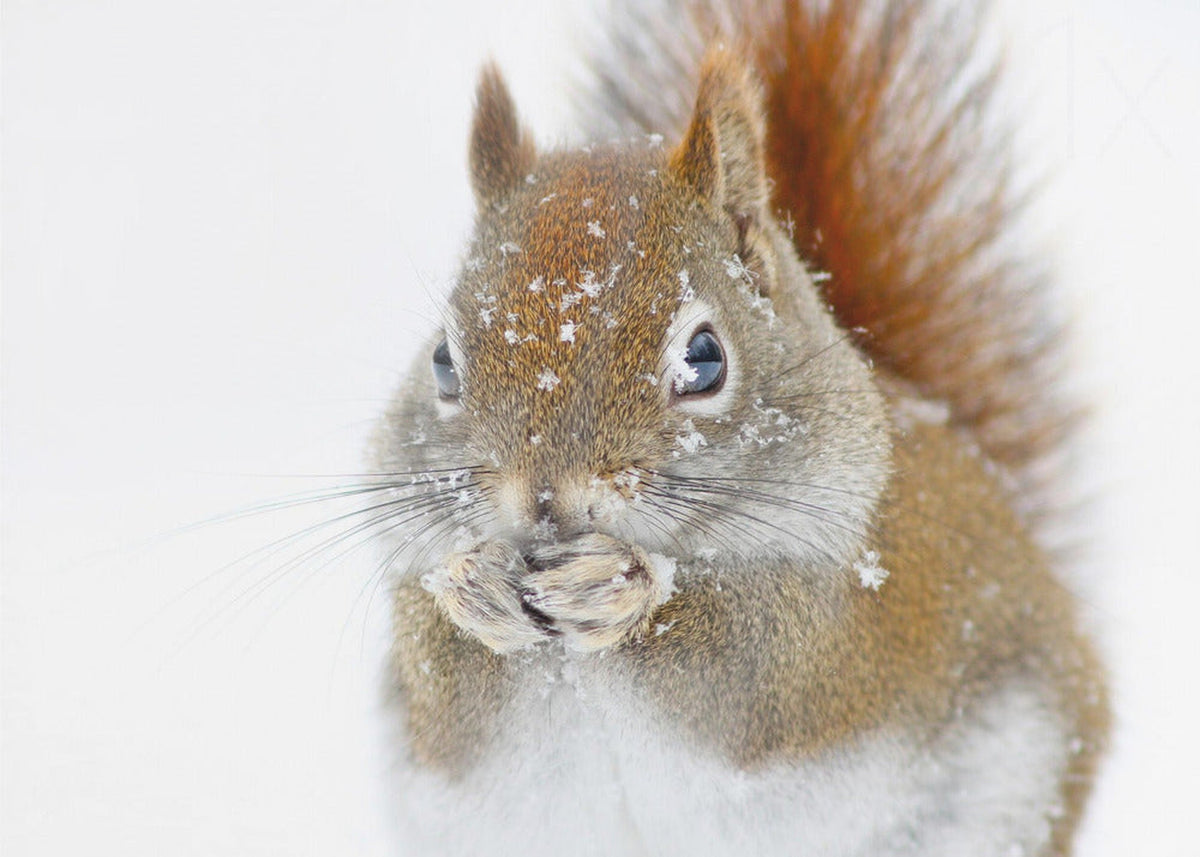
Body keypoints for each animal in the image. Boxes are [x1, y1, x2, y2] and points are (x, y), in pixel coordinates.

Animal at [369, 1, 1109, 855]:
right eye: (442, 363)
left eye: (705, 358)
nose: (546, 498)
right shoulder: (438, 713)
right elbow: (445, 694)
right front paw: (473, 584)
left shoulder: (833, 636)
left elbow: (745, 674)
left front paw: (622, 586)